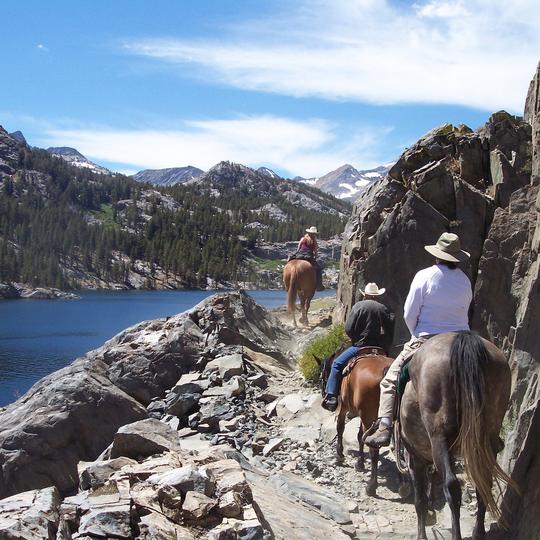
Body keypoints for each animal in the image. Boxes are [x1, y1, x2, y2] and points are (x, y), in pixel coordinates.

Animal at [320, 348, 392, 496]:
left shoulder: (344, 407)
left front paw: (339, 455)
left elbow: (340, 427)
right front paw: (360, 463)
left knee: (373, 448)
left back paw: (371, 486)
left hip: (368, 415)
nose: (324, 395)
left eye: (323, 375)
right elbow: (359, 436)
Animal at [400, 332, 516, 536]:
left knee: (452, 487)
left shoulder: (415, 457)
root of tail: (464, 338)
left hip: (439, 437)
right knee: (483, 484)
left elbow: (419, 501)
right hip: (487, 436)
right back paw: (478, 533)